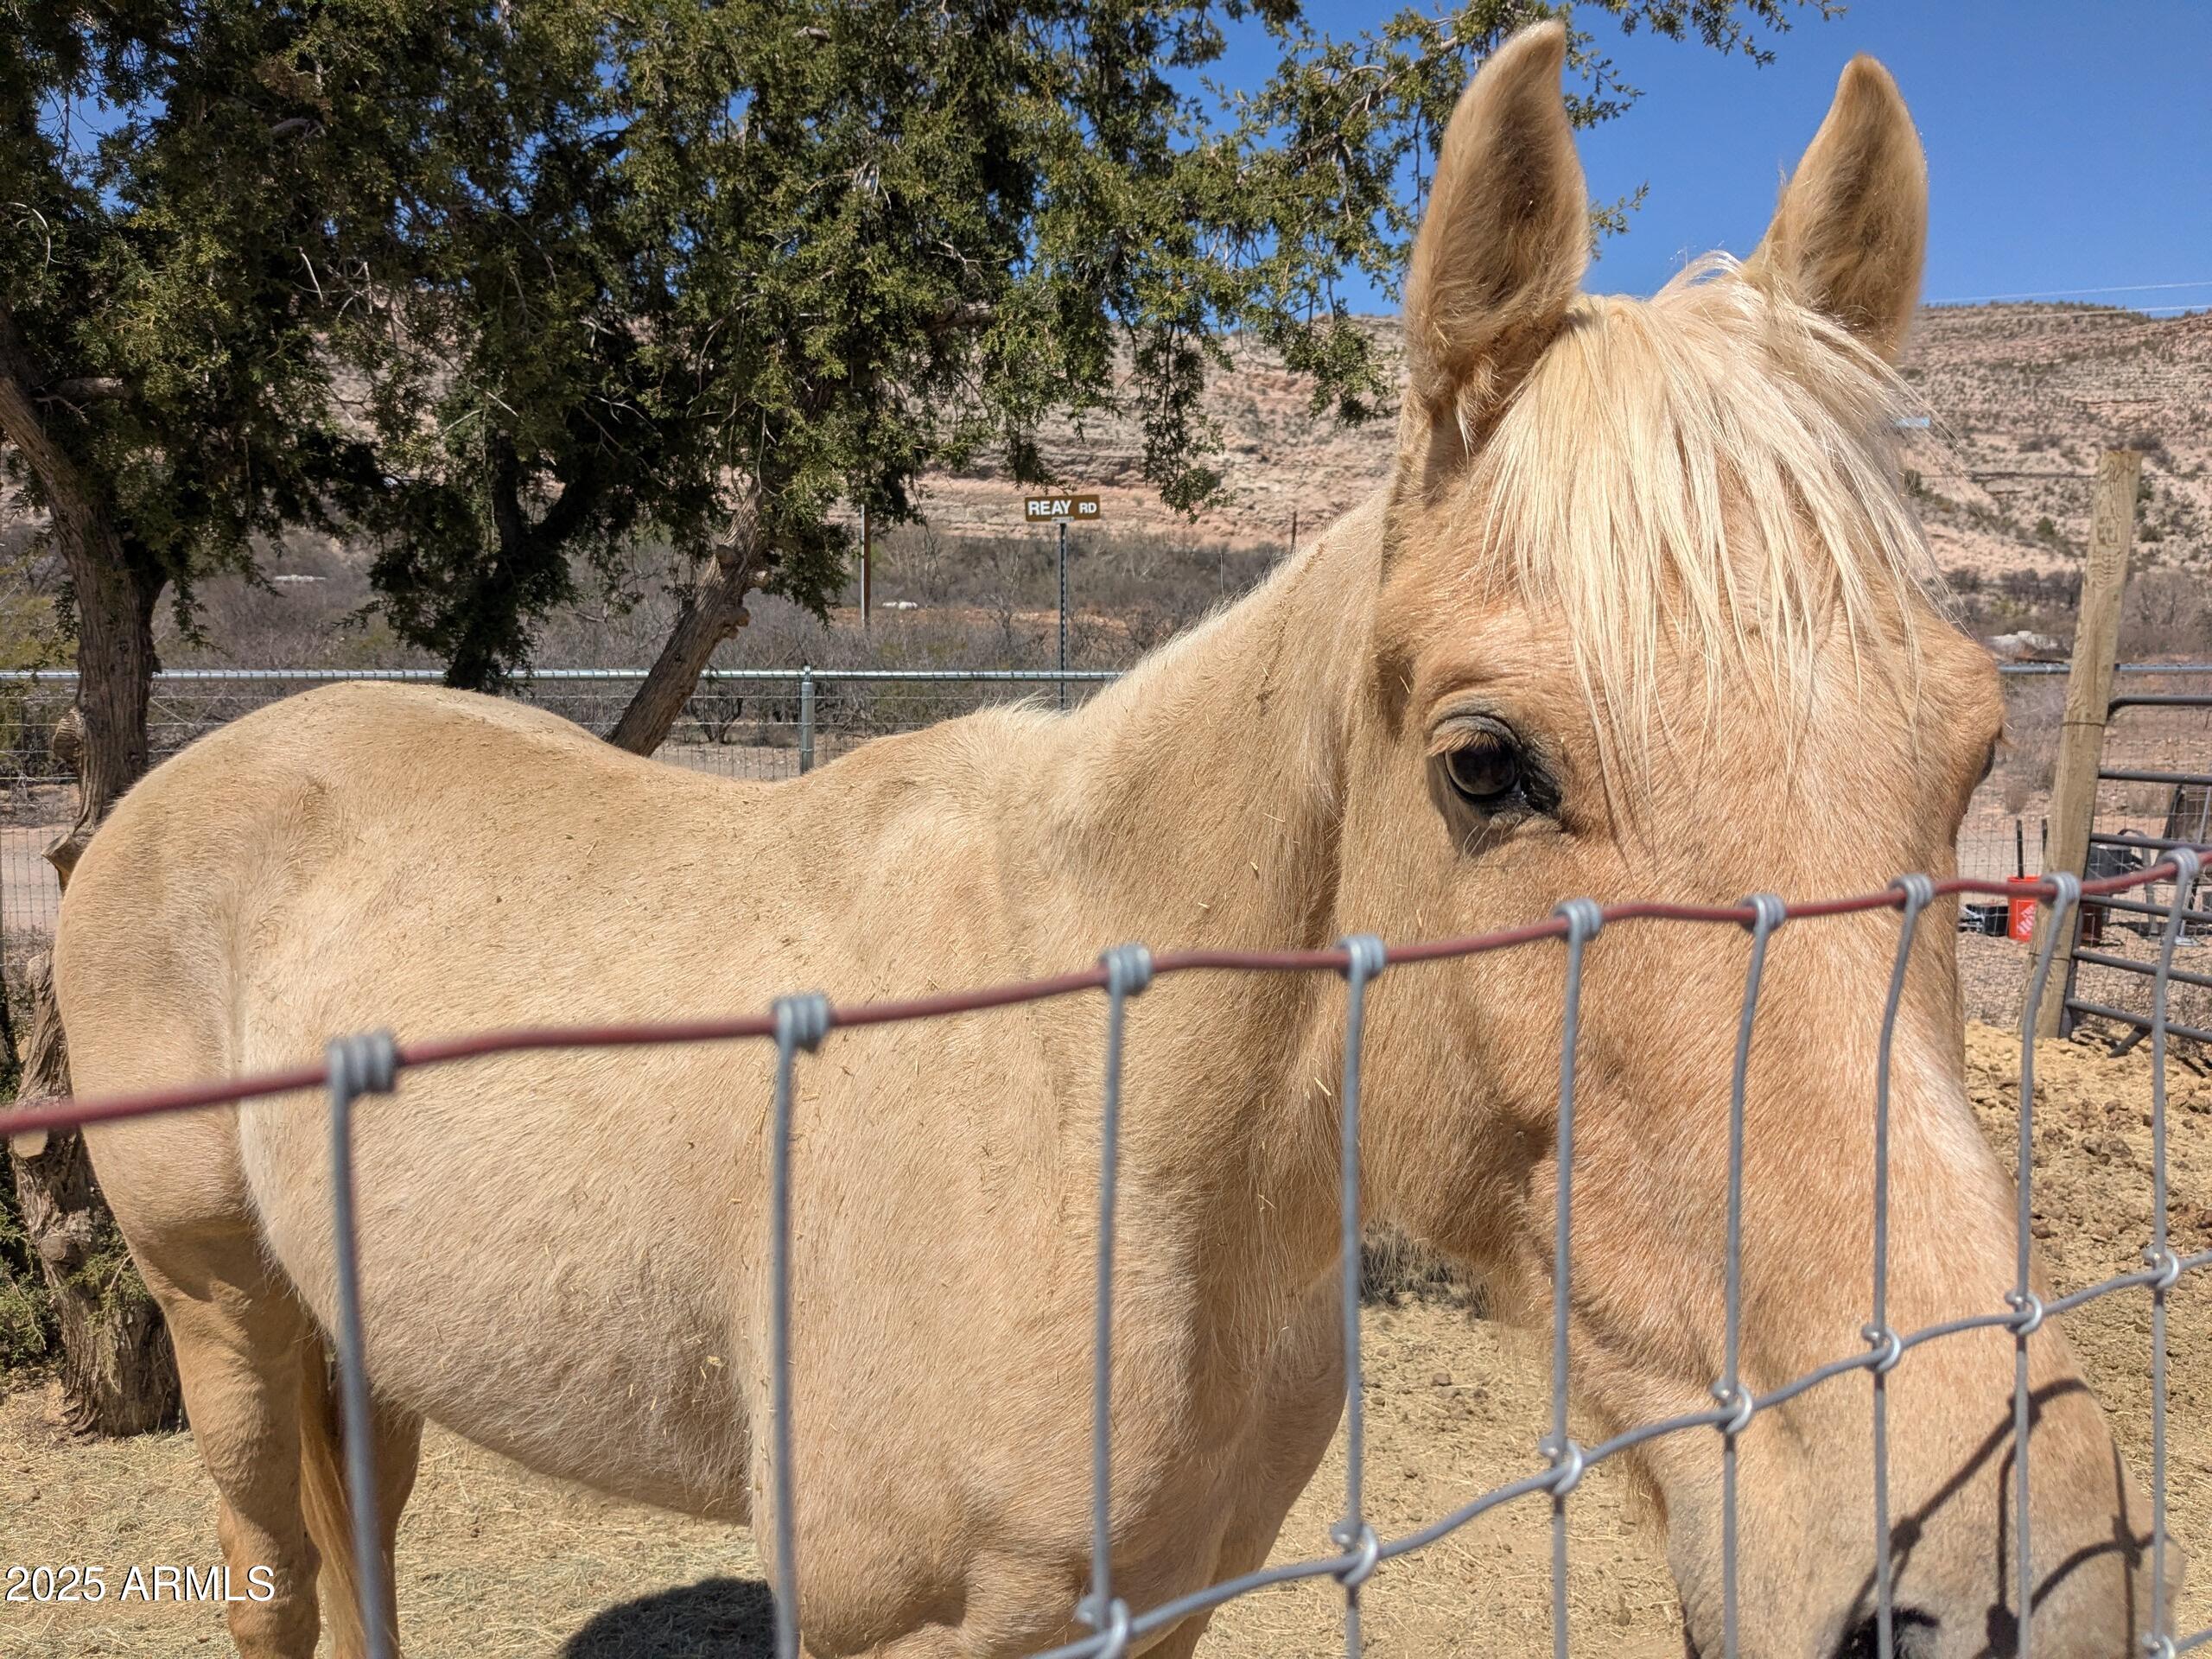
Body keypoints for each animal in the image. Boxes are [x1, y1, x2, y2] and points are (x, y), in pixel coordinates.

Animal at [54, 24, 2173, 1659]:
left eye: (1965, 751)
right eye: (1485, 768)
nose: (2021, 1582)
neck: (1118, 1121)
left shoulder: (1167, 1599)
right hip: (222, 1310)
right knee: (271, 1570)